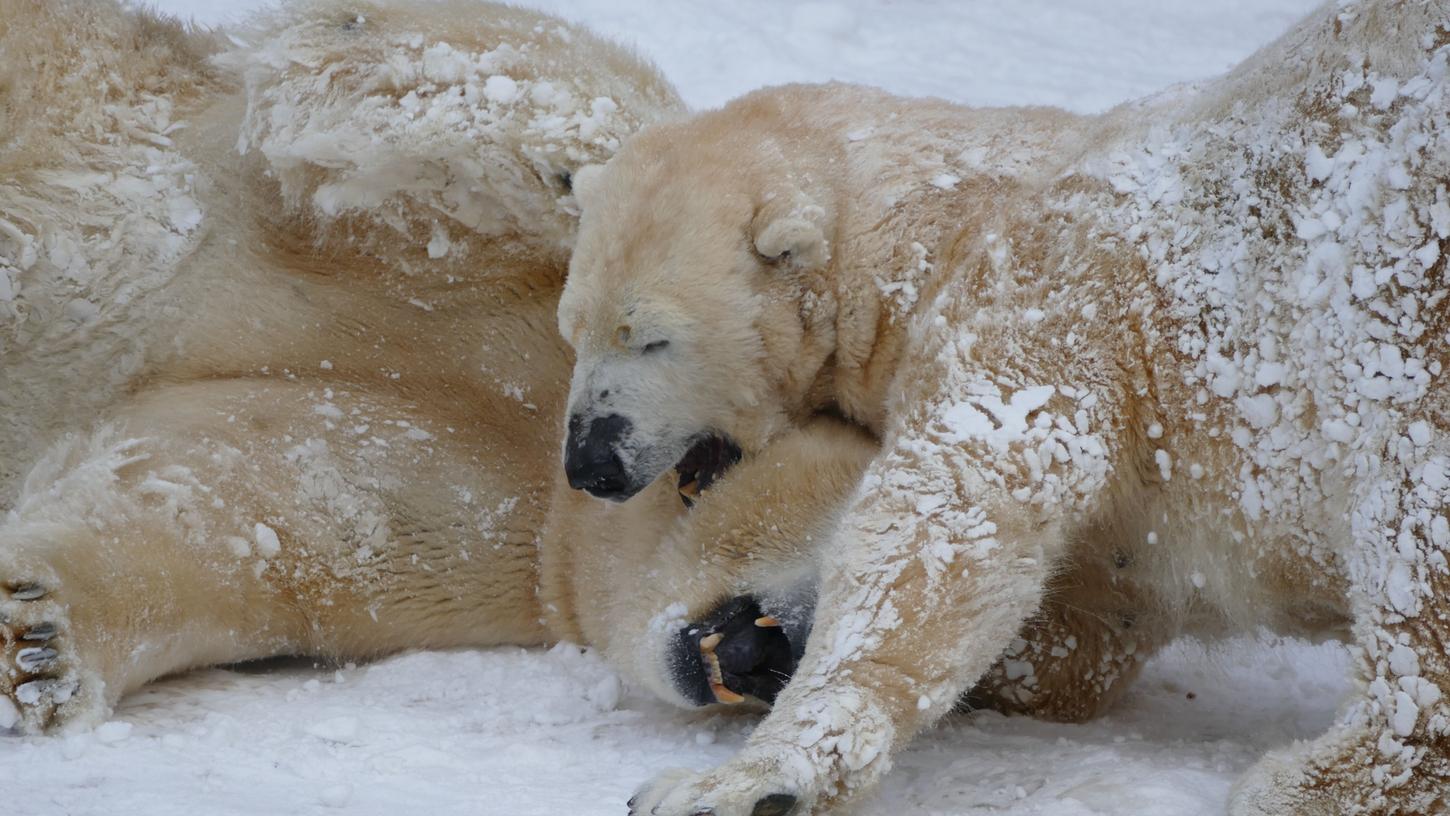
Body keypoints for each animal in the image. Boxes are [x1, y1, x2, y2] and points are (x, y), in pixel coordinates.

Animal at [556, 3, 1450, 811]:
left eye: (651, 339)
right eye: (574, 328)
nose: (587, 462)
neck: (942, 220)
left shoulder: (1045, 296)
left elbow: (955, 509)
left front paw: (742, 780)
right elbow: (1082, 628)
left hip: (1401, 291)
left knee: (1410, 521)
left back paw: (1316, 778)